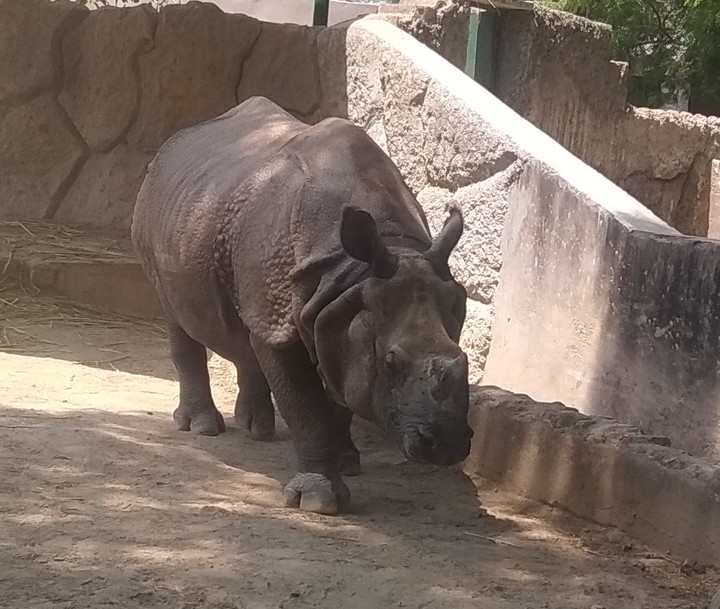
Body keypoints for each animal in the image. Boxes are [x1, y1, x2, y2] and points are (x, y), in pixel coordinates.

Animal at [131, 97, 472, 515]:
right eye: (391, 362)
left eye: (463, 358)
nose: (447, 447)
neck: (351, 270)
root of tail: (174, 142)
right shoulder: (297, 315)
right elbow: (304, 401)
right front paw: (318, 501)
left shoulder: (338, 310)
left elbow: (338, 390)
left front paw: (346, 461)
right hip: (158, 218)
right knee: (178, 316)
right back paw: (201, 427)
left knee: (245, 328)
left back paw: (256, 428)